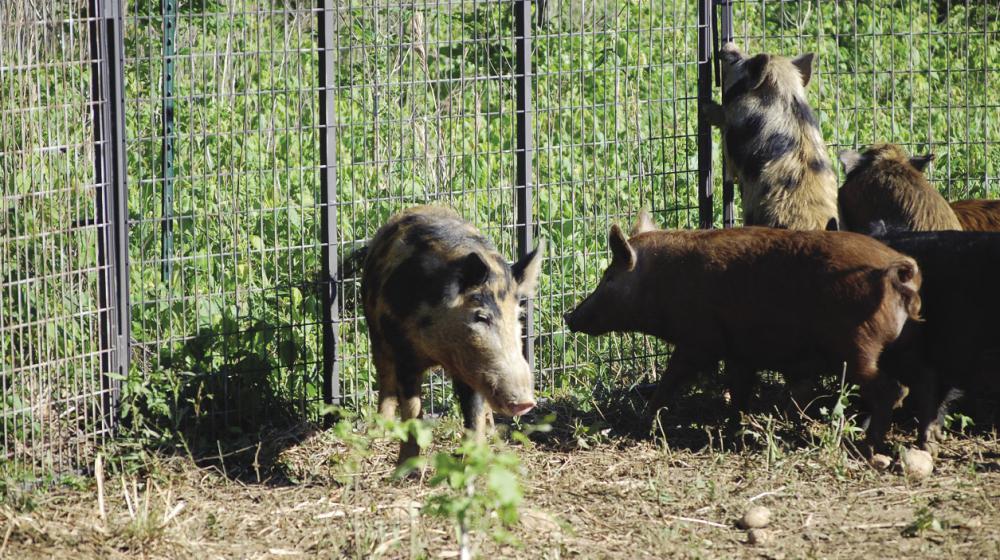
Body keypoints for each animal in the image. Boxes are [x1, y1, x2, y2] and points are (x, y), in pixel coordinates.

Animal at [362, 206, 548, 464]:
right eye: (481, 317)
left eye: (518, 315)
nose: (525, 402)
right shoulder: (404, 354)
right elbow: (412, 410)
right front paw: (407, 468)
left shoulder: (475, 369)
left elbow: (474, 413)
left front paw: (470, 459)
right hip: (377, 336)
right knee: (385, 380)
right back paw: (379, 432)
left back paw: (492, 430)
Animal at [564, 212, 920, 452]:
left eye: (609, 277)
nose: (570, 316)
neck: (663, 279)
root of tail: (895, 272)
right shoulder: (740, 350)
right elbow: (739, 390)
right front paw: (735, 427)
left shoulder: (699, 340)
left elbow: (671, 378)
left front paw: (644, 421)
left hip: (856, 347)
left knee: (892, 389)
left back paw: (866, 447)